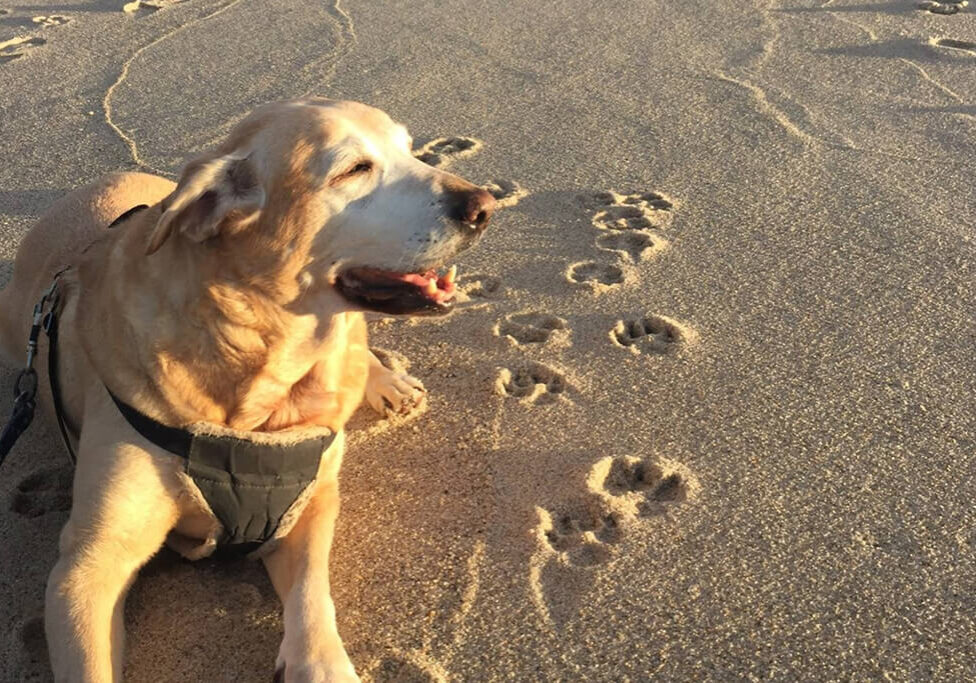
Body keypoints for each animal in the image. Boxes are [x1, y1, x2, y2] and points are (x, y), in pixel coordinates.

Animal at [0, 99, 496, 680]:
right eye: (354, 169)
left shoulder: (309, 502)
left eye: (411, 149)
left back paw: (385, 379)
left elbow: (312, 597)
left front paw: (323, 662)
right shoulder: (87, 563)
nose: (485, 206)